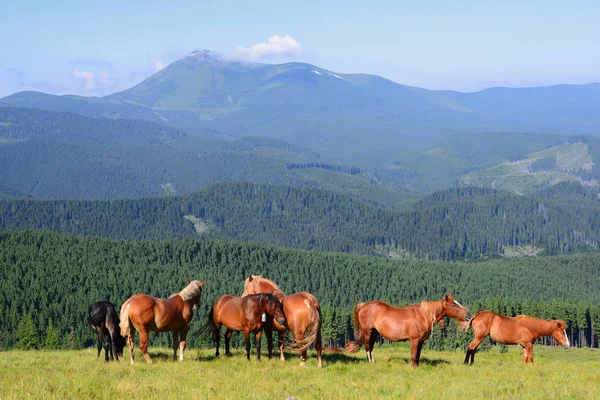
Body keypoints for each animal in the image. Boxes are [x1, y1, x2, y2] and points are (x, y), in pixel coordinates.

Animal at [346, 296, 474, 368]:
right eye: (453, 304)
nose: (469, 314)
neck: (423, 315)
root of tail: (364, 305)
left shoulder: (420, 341)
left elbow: (417, 355)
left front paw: (416, 366)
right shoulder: (414, 340)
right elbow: (413, 355)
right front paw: (413, 367)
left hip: (374, 333)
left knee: (371, 347)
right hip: (368, 332)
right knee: (368, 347)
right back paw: (371, 362)